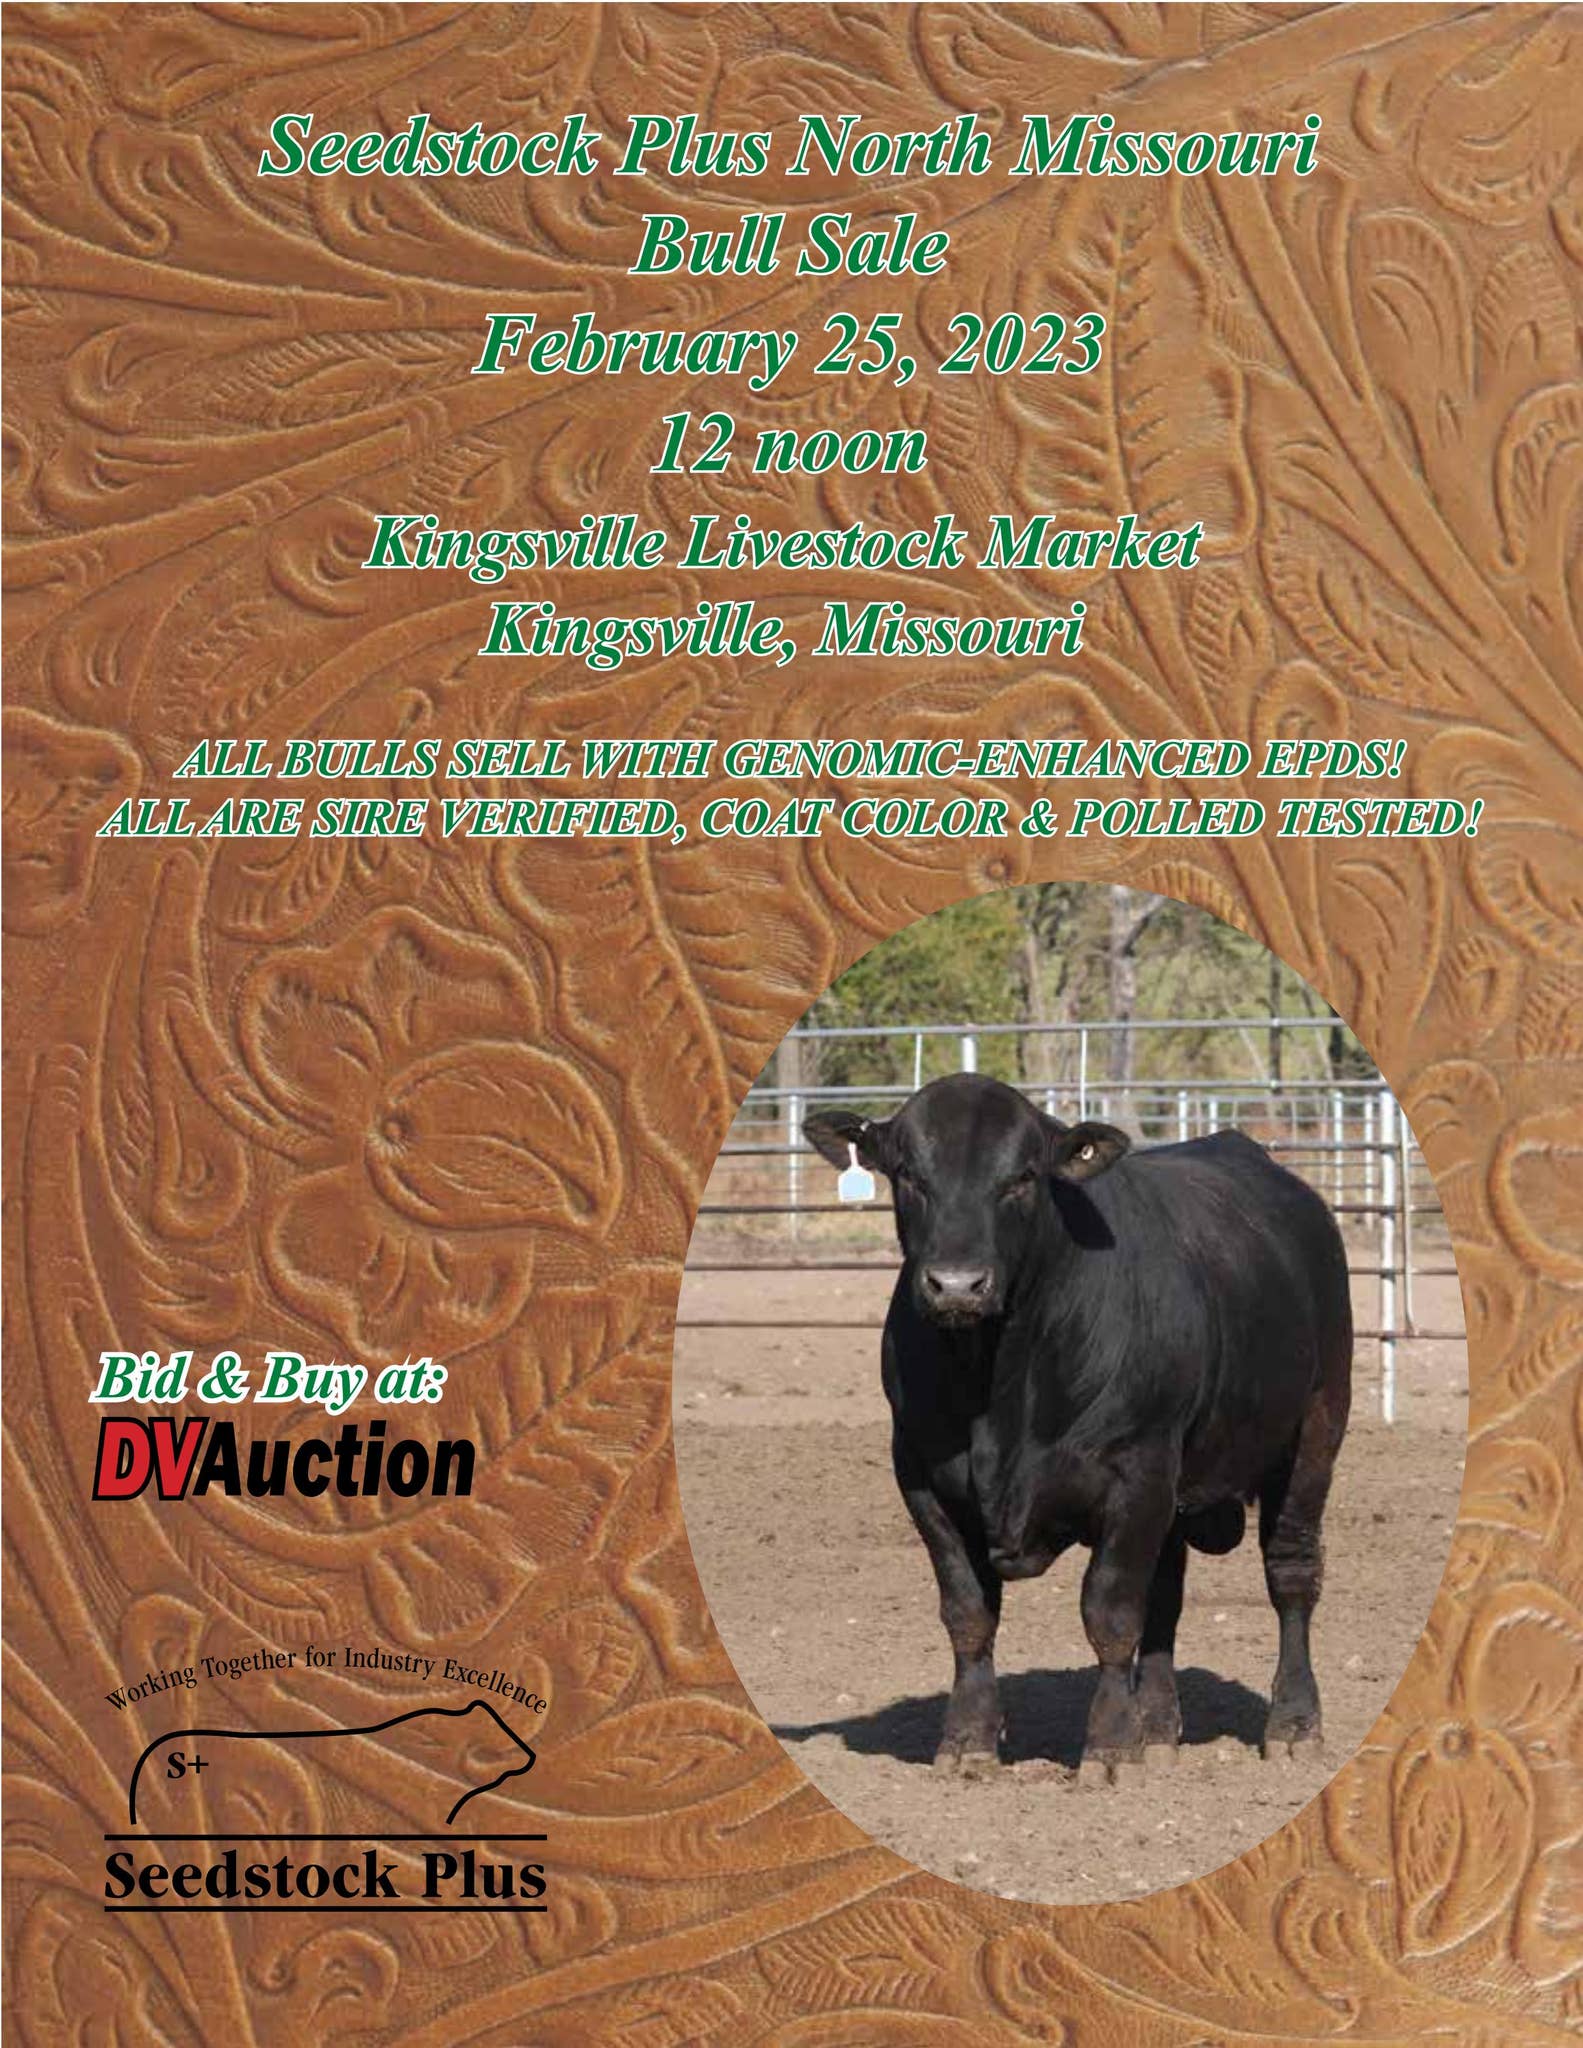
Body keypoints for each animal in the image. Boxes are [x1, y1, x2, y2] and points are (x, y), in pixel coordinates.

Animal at [805, 1072, 1352, 1783]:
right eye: (908, 1174)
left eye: (1023, 1176)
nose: (957, 1284)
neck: (997, 1387)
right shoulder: (923, 1477)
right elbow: (968, 1614)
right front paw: (967, 1742)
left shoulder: (1136, 1471)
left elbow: (1110, 1612)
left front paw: (1111, 1747)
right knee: (1166, 1596)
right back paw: (1158, 1729)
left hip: (1315, 1429)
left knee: (1290, 1577)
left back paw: (1292, 1725)